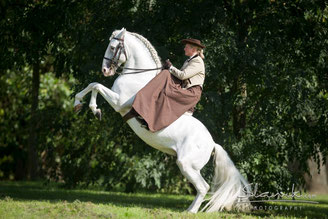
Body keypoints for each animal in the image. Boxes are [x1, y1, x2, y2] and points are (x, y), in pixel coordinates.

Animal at [73, 27, 250, 212]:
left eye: (113, 47)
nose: (105, 71)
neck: (137, 77)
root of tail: (212, 144)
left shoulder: (119, 102)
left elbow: (96, 85)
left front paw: (93, 109)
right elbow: (93, 85)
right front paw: (78, 104)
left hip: (186, 164)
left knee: (203, 187)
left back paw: (191, 212)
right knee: (202, 188)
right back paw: (188, 210)